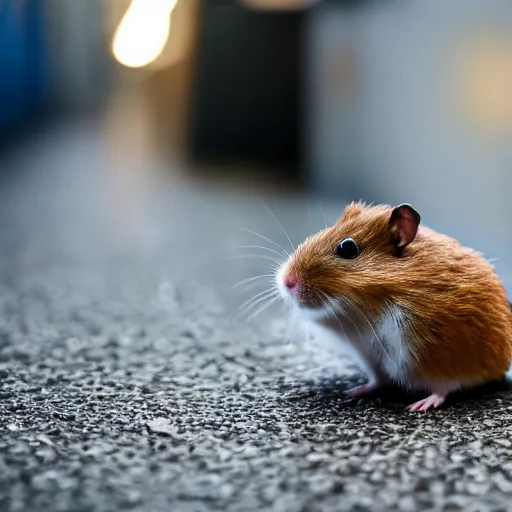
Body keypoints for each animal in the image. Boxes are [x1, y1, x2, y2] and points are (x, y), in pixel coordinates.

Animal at [276, 201, 512, 412]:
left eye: (348, 248)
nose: (286, 281)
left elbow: (446, 386)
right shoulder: (369, 356)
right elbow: (378, 380)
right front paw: (350, 391)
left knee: (445, 389)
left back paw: (420, 405)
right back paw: (356, 391)